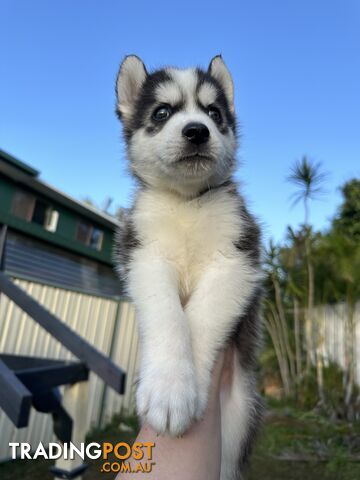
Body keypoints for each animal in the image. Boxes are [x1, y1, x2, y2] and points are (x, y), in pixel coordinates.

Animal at [116, 54, 264, 478]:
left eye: (214, 113)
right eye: (162, 112)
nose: (197, 131)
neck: (187, 202)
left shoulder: (238, 258)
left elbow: (199, 317)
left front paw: (181, 389)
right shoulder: (144, 254)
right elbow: (169, 315)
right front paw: (169, 387)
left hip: (241, 416)